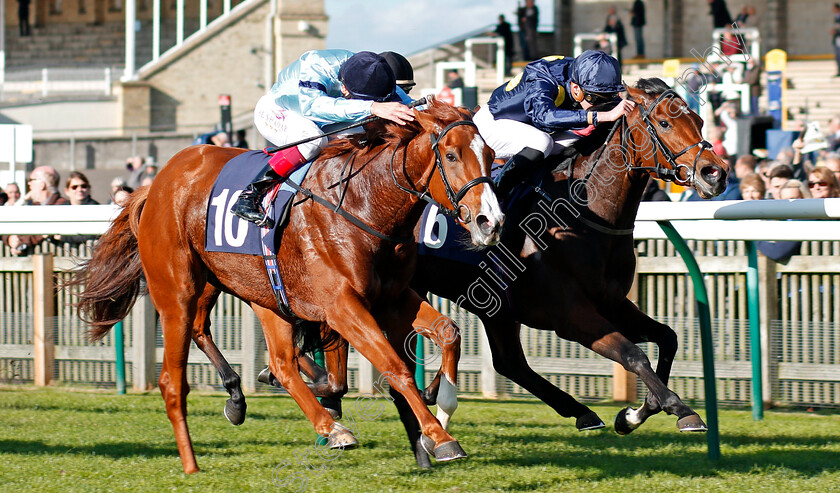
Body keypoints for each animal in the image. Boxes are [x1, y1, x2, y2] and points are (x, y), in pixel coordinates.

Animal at [72, 101, 502, 472]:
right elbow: (394, 366)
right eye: (451, 155)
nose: (490, 222)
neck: (365, 204)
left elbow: (448, 331)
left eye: (491, 153)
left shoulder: (392, 297)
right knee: (173, 378)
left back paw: (318, 423)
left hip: (255, 292)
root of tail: (156, 183)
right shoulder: (341, 305)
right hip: (177, 291)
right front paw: (439, 437)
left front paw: (443, 409)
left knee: (277, 361)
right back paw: (192, 463)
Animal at [282, 79, 728, 460]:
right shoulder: (570, 315)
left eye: (700, 120)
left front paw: (637, 412)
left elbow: (667, 338)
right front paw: (679, 409)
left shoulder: (613, 303)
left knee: (508, 361)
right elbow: (634, 354)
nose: (716, 173)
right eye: (665, 122)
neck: (583, 213)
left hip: (487, 305)